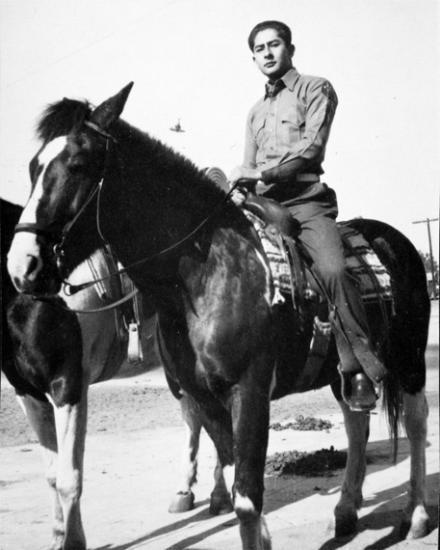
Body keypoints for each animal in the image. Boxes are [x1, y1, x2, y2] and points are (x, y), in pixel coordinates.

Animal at [7, 83, 430, 550]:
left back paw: (416, 515)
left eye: (77, 165)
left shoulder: (249, 390)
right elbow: (231, 476)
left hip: (410, 360)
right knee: (356, 425)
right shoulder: (203, 396)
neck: (207, 277)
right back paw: (346, 511)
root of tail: (394, 240)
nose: (22, 265)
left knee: (416, 424)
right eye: (33, 167)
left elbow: (246, 497)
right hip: (344, 375)